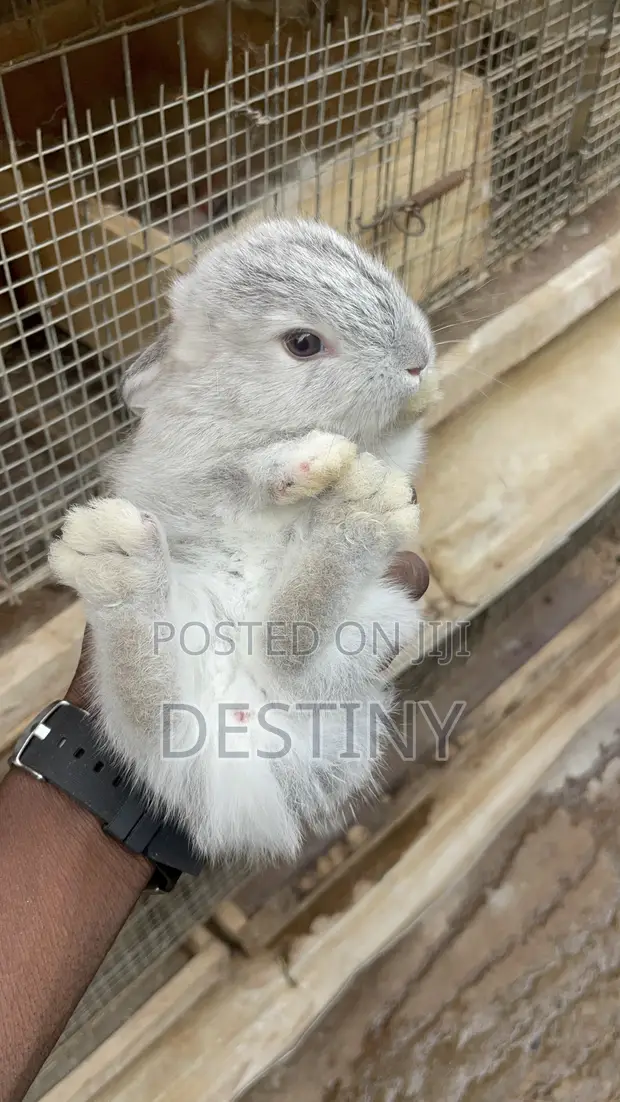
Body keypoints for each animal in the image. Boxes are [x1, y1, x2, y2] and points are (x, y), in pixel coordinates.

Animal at [49, 217, 437, 863]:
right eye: (303, 343)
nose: (419, 363)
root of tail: (239, 746)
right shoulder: (194, 470)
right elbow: (243, 471)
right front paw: (311, 461)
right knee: (153, 708)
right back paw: (118, 561)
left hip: (371, 634)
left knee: (284, 655)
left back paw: (358, 513)